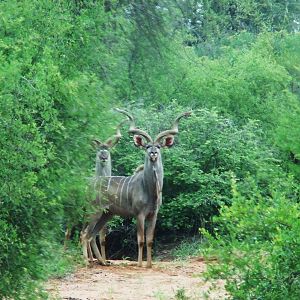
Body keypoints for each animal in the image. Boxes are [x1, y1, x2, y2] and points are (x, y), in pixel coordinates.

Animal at [81, 109, 191, 268]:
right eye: (147, 146)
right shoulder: (139, 214)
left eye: (158, 146)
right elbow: (141, 240)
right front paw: (140, 264)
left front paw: (149, 264)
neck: (150, 190)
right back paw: (86, 262)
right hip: (94, 211)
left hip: (106, 215)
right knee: (84, 234)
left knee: (92, 235)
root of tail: (89, 186)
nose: (153, 153)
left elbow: (150, 240)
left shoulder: (153, 214)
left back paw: (102, 262)